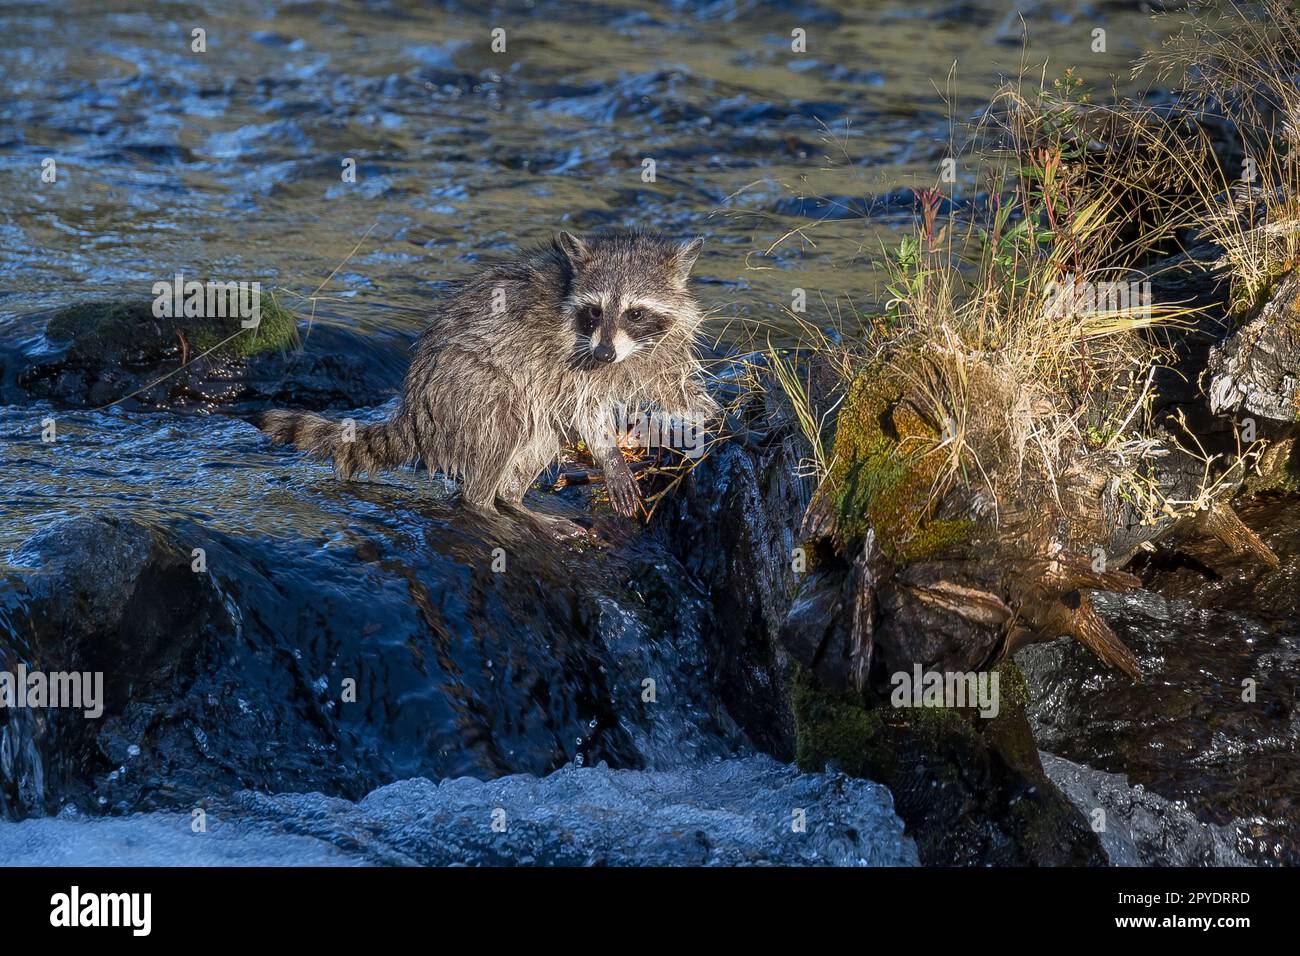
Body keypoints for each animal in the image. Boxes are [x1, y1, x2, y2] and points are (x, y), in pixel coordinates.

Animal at [260, 228, 717, 532]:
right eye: (594, 311)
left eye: (635, 312)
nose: (605, 354)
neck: (628, 349)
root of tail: (414, 406)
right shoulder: (569, 361)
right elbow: (584, 407)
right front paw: (610, 456)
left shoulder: (663, 347)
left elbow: (675, 387)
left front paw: (708, 413)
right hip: (467, 386)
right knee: (505, 422)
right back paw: (484, 502)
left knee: (542, 432)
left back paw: (510, 498)